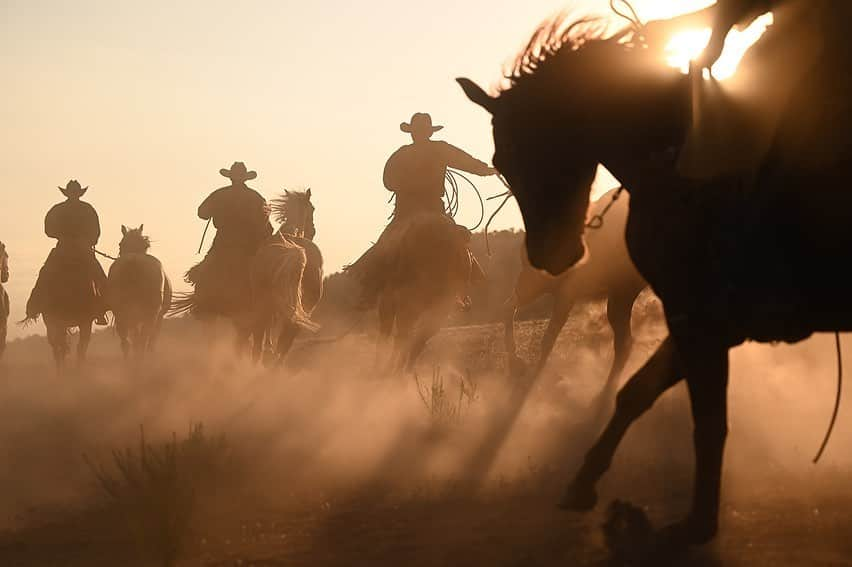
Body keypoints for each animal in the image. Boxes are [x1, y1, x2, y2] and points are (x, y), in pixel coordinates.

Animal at [107, 225, 172, 360]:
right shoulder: (158, 318)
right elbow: (151, 341)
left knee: (127, 342)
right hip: (148, 315)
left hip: (122, 313)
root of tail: (134, 260)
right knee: (142, 340)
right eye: (120, 244)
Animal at [502, 189, 644, 384]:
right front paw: (517, 366)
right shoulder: (534, 284)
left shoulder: (562, 291)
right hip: (620, 296)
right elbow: (510, 309)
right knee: (624, 343)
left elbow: (547, 339)